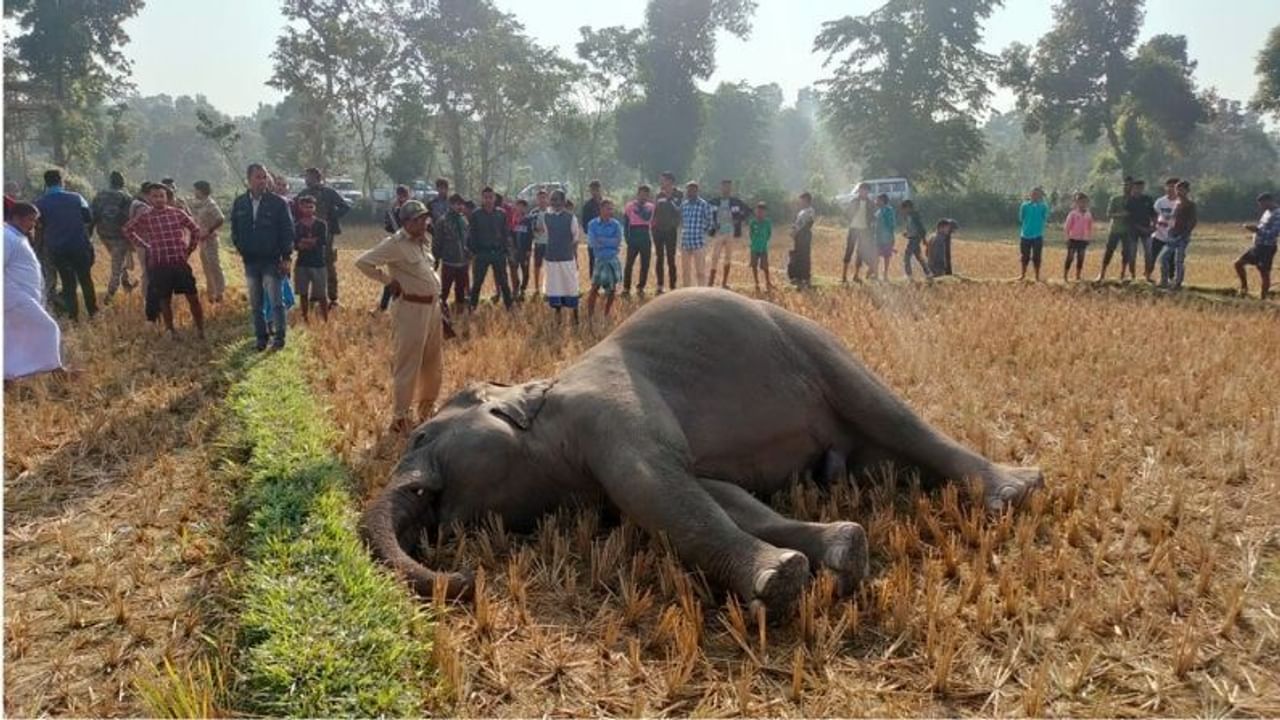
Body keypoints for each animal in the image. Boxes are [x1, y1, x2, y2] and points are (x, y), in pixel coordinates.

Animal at [360, 285, 1039, 617]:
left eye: (421, 438)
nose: (467, 578)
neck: (545, 395)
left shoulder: (610, 412)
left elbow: (661, 491)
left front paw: (780, 583)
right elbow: (715, 493)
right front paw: (839, 552)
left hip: (814, 345)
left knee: (890, 411)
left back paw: (1014, 490)